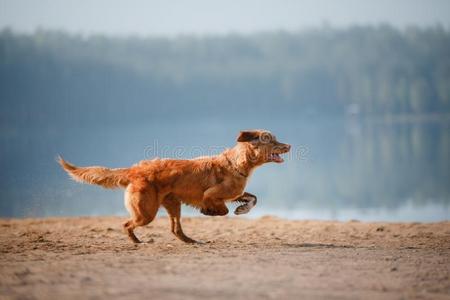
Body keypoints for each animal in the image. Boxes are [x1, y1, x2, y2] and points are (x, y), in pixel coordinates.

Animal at [58, 130, 290, 243]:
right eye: (271, 139)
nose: (289, 145)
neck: (237, 164)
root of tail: (135, 170)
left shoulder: (234, 193)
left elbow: (252, 198)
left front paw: (242, 209)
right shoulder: (212, 193)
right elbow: (221, 209)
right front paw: (209, 211)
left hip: (172, 204)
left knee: (175, 229)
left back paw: (191, 241)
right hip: (146, 212)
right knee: (127, 224)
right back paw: (137, 241)